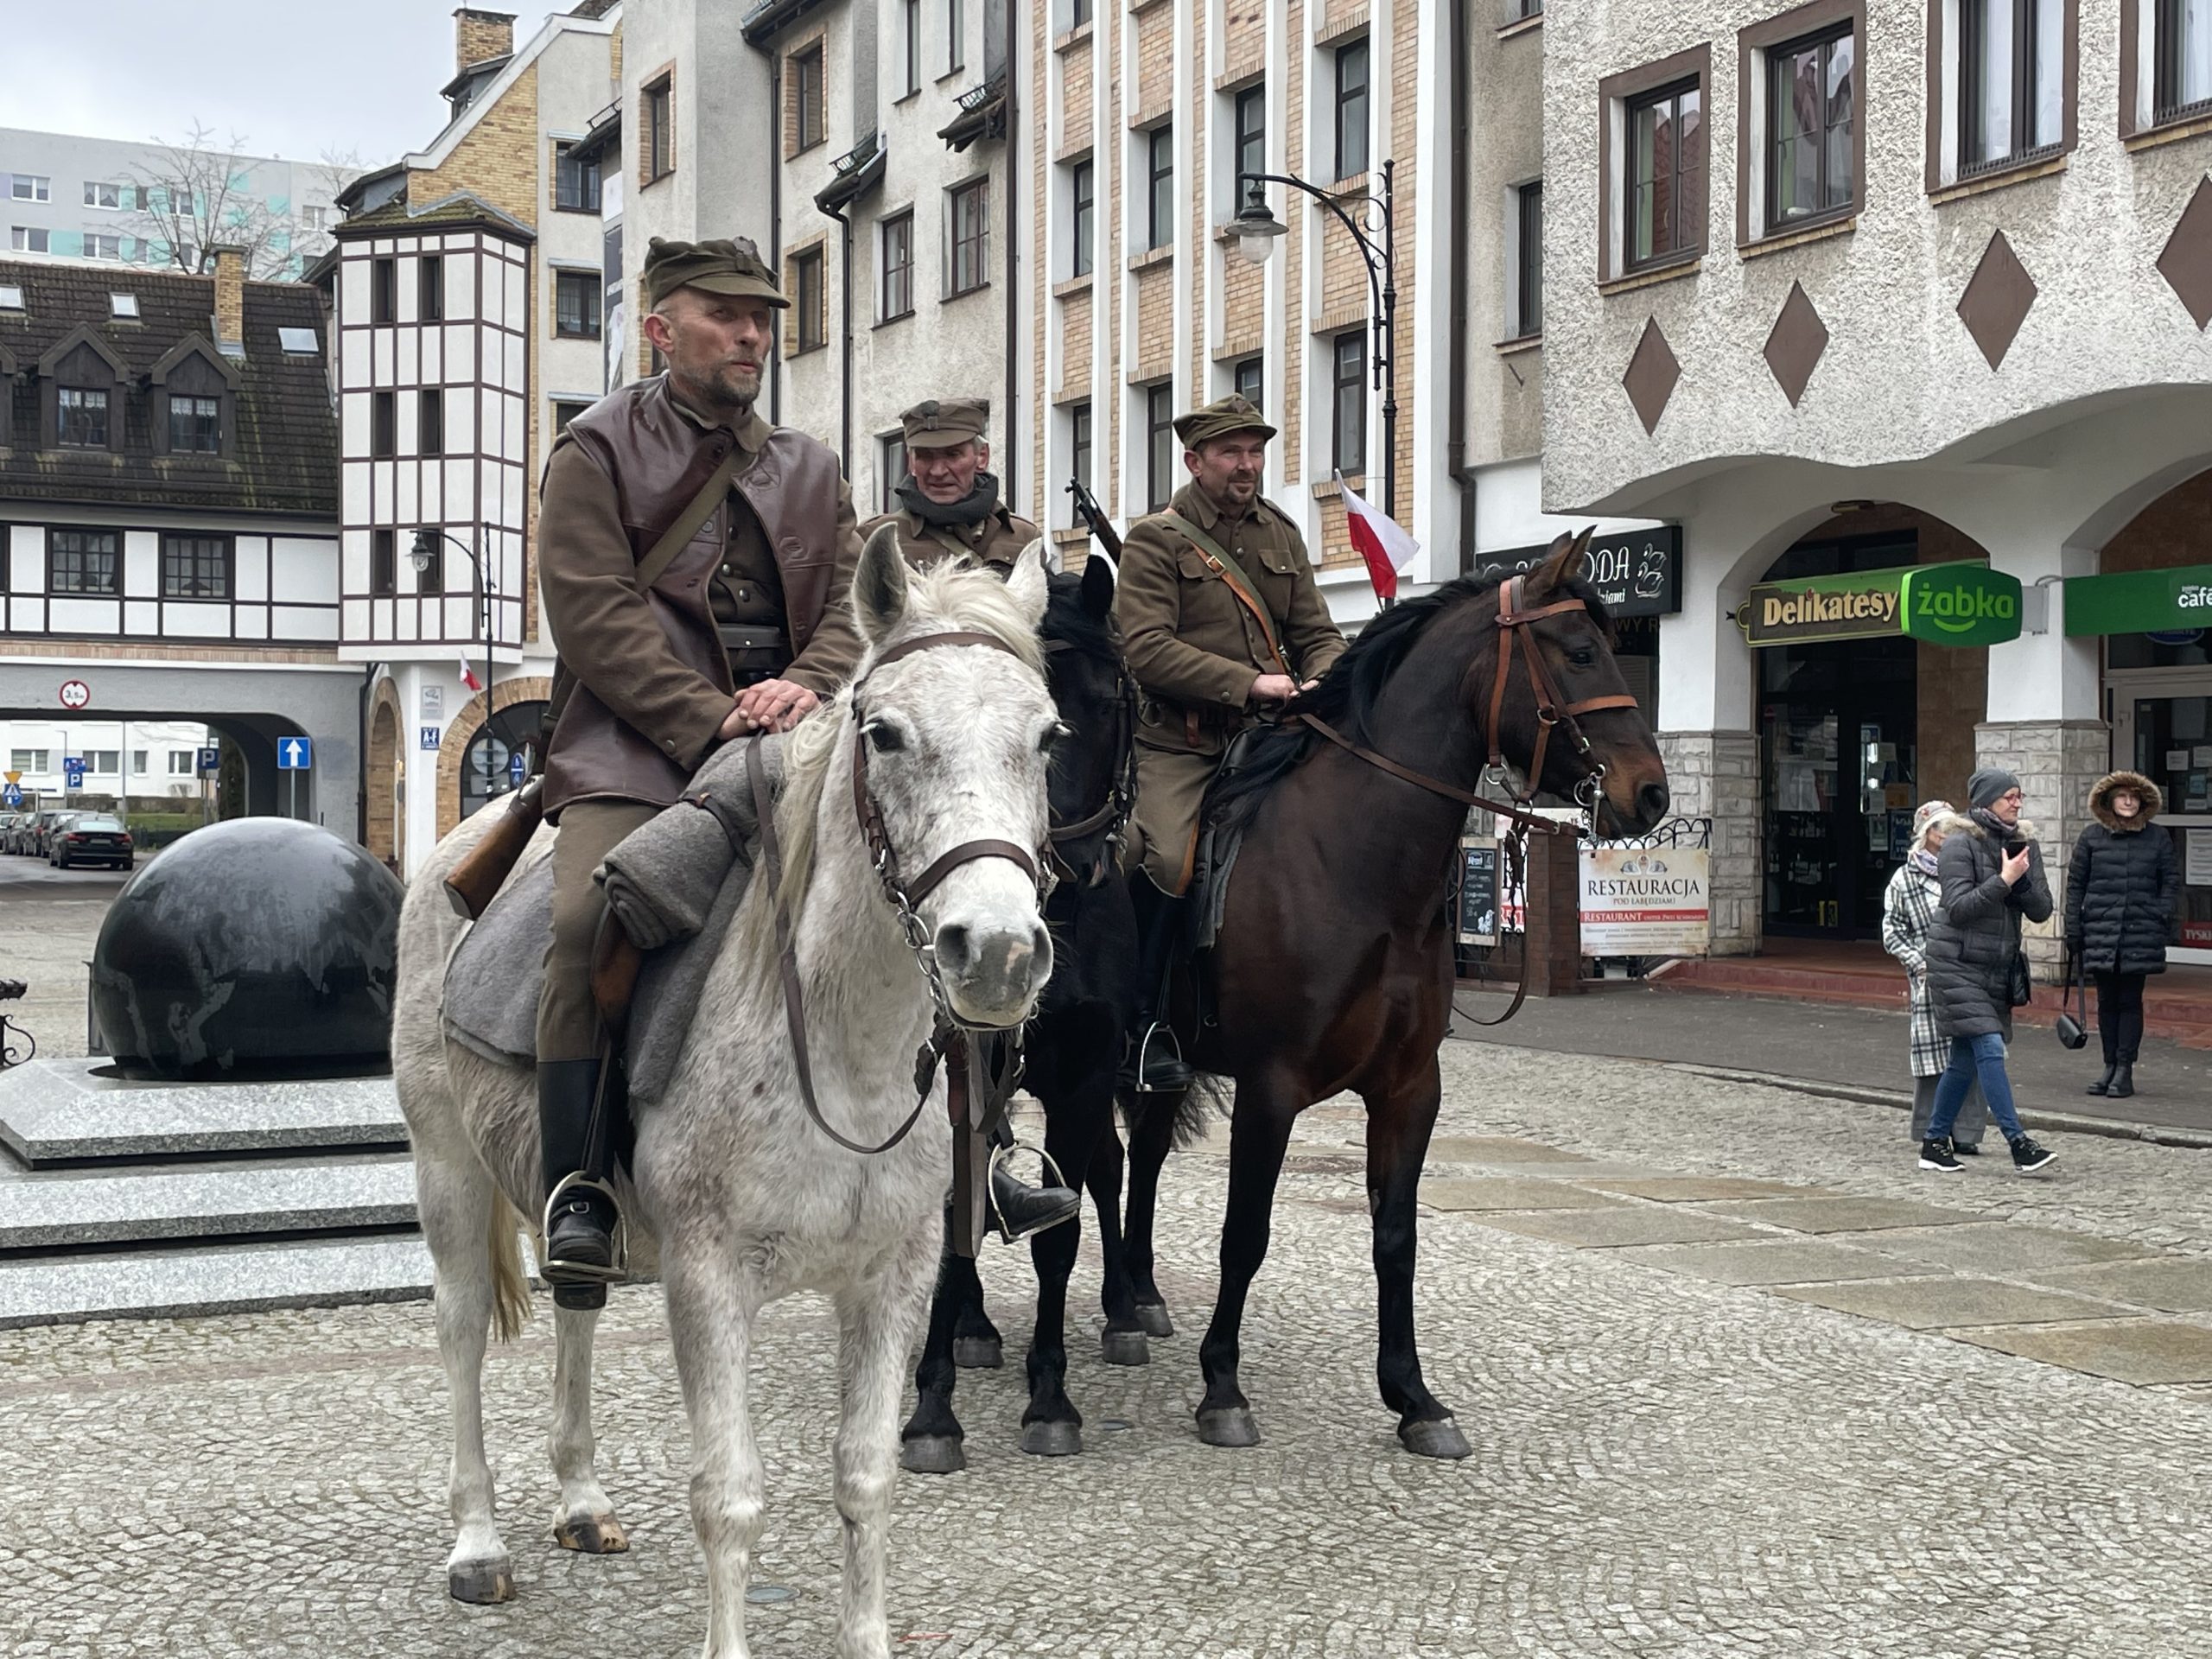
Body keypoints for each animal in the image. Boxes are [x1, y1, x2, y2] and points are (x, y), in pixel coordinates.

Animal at [396, 535, 1061, 1659]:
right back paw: (477, 1543)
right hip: (446, 1168)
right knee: (459, 1331)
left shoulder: (893, 1280)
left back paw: (581, 1500)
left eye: (1048, 737)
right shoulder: (709, 1283)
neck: (841, 1052)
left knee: (575, 1300)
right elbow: (730, 1498)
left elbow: (867, 1480)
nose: (1000, 953)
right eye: (884, 732)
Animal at [898, 566, 1150, 1478]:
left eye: (1105, 705)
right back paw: (972, 1329)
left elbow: (1060, 1234)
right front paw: (932, 1409)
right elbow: (951, 1232)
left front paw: (1051, 1396)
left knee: (1110, 1170)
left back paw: (1125, 1311)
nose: (1060, 865)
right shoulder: (955, 1075)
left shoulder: (1085, 1072)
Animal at [1115, 528, 1663, 1451]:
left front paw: (1413, 1396)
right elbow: (1245, 1233)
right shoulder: (1270, 1086)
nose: (1650, 794)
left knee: (1142, 1156)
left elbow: (1396, 1236)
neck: (1360, 866)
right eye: (1582, 652)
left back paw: (1135, 1300)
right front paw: (1222, 1386)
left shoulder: (1409, 1088)